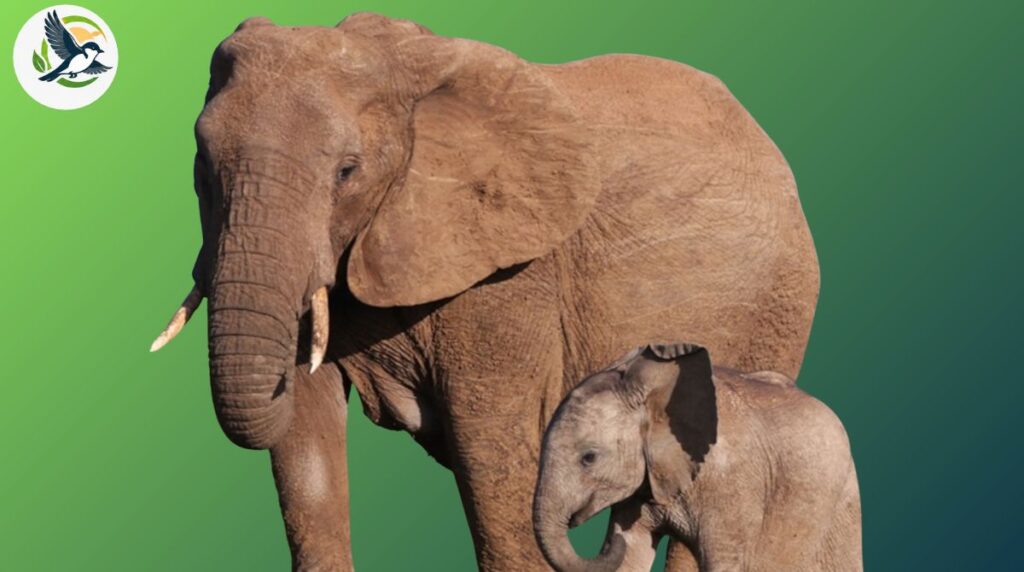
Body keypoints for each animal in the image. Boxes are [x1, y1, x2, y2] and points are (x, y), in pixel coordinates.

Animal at [151, 12, 820, 571]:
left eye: (348, 171)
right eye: (201, 165)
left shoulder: (511, 278)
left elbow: (490, 459)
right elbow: (306, 445)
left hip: (776, 304)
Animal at [533, 343, 862, 572]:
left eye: (589, 458)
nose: (610, 542)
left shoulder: (731, 484)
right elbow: (632, 554)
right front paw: (624, 544)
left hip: (843, 500)